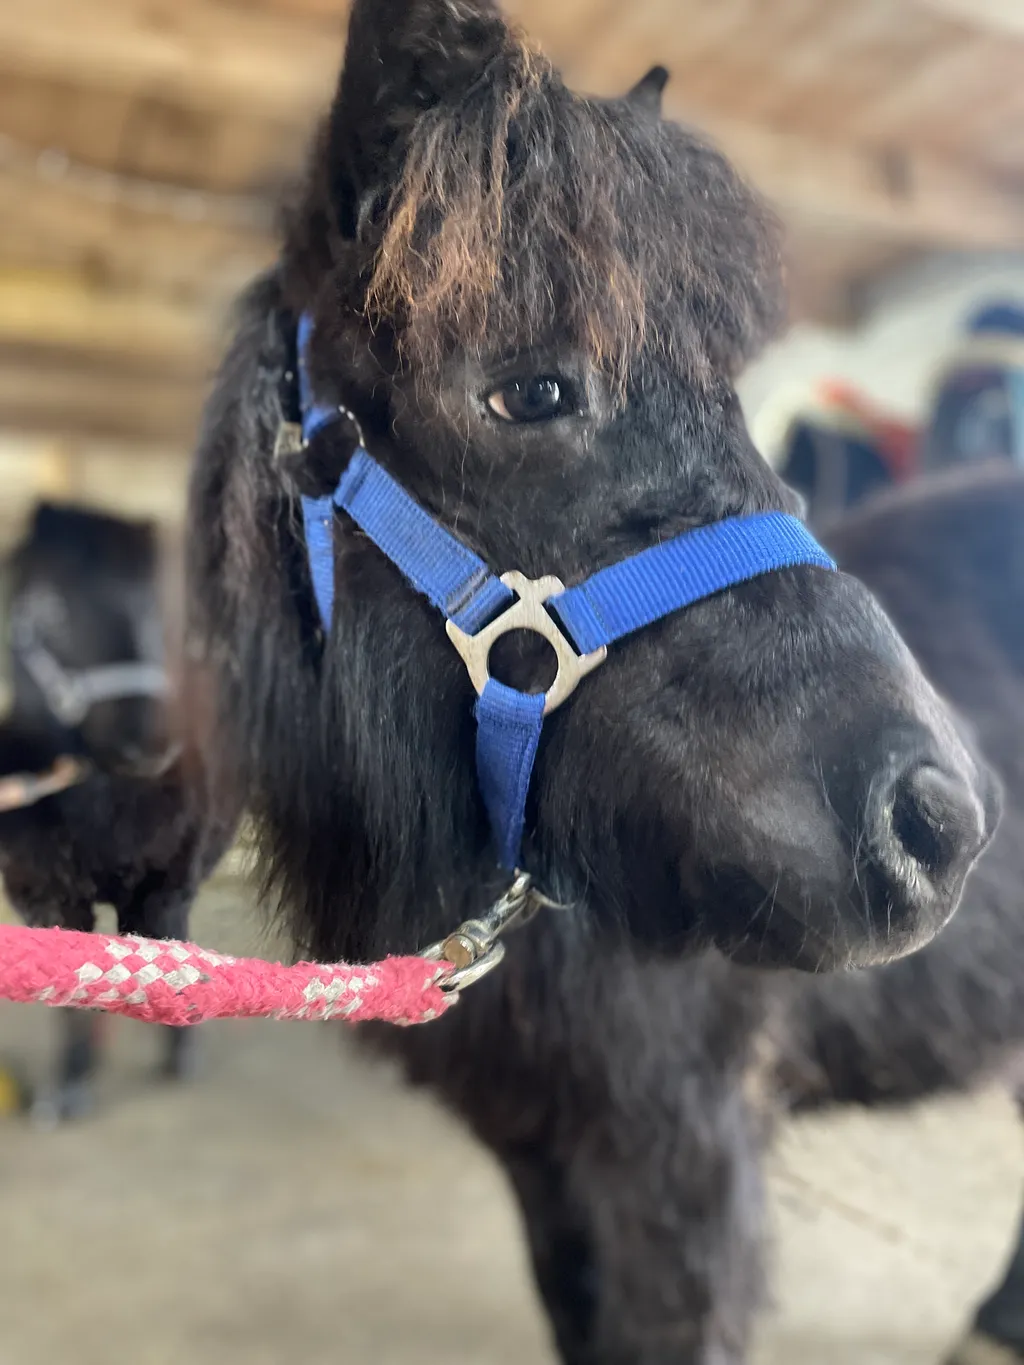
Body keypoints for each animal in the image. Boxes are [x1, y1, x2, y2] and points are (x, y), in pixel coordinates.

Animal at [0, 503, 237, 1118]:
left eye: (163, 603)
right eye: (47, 607)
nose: (148, 743)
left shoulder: (166, 881)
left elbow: (168, 956)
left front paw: (180, 1049)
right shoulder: (42, 890)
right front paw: (70, 1087)